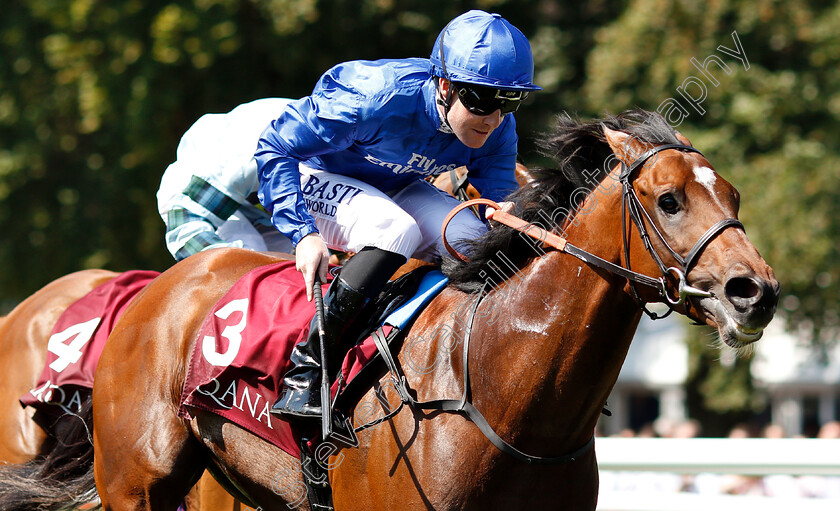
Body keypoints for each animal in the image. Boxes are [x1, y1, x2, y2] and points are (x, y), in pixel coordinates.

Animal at [1, 110, 780, 510]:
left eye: (734, 195)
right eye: (669, 199)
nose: (755, 291)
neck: (498, 390)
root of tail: (157, 290)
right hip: (137, 482)